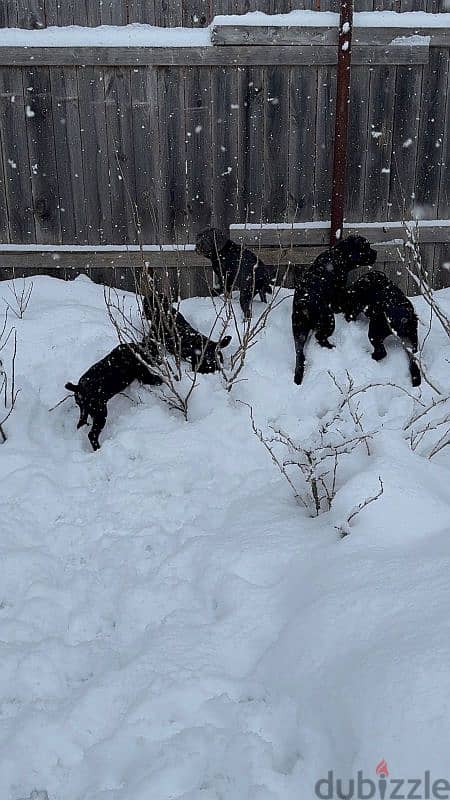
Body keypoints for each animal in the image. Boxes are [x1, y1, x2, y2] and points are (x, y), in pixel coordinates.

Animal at [290, 234, 378, 384]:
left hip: (298, 329)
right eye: (366, 247)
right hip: (328, 320)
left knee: (299, 351)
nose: (376, 252)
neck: (339, 255)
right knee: (320, 337)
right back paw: (330, 347)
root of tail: (303, 305)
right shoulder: (338, 291)